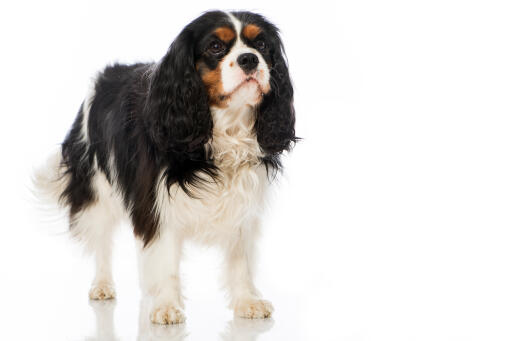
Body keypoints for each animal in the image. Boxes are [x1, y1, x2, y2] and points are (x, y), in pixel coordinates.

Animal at [34, 9, 296, 324]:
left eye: (262, 45)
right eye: (215, 47)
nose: (249, 59)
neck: (223, 128)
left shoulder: (242, 206)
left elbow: (240, 260)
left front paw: (247, 300)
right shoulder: (156, 204)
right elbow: (165, 258)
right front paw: (166, 305)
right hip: (95, 190)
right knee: (101, 243)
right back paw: (103, 285)